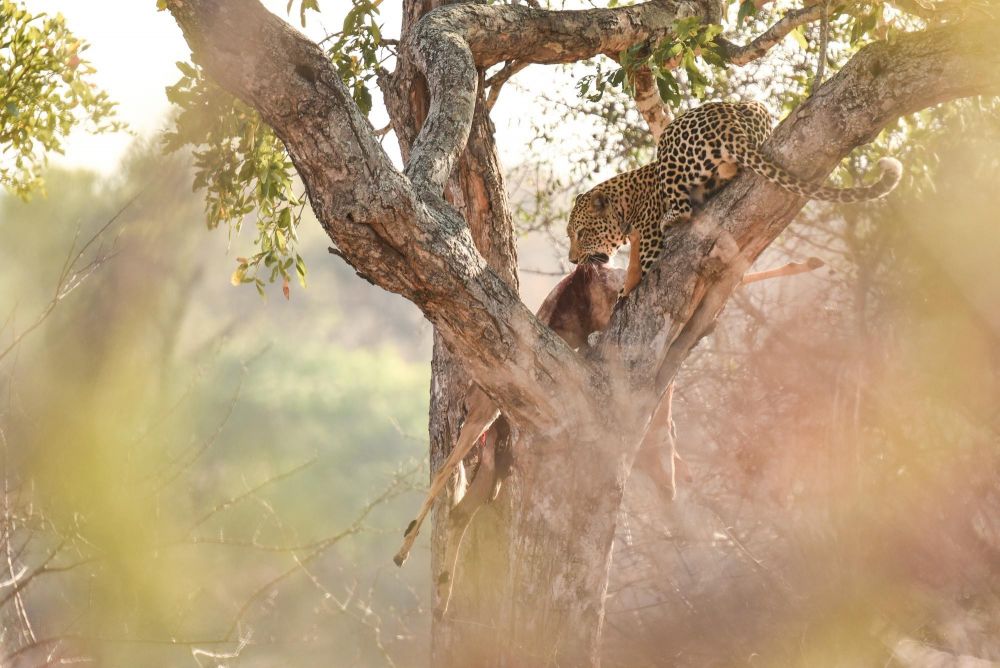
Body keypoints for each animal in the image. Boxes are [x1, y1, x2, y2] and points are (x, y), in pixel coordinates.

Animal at [568, 100, 904, 296]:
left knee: (684, 209)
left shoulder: (649, 246)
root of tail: (727, 121)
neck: (626, 201)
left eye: (581, 233)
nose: (572, 260)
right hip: (756, 109)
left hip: (669, 147)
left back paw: (673, 216)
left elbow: (634, 276)